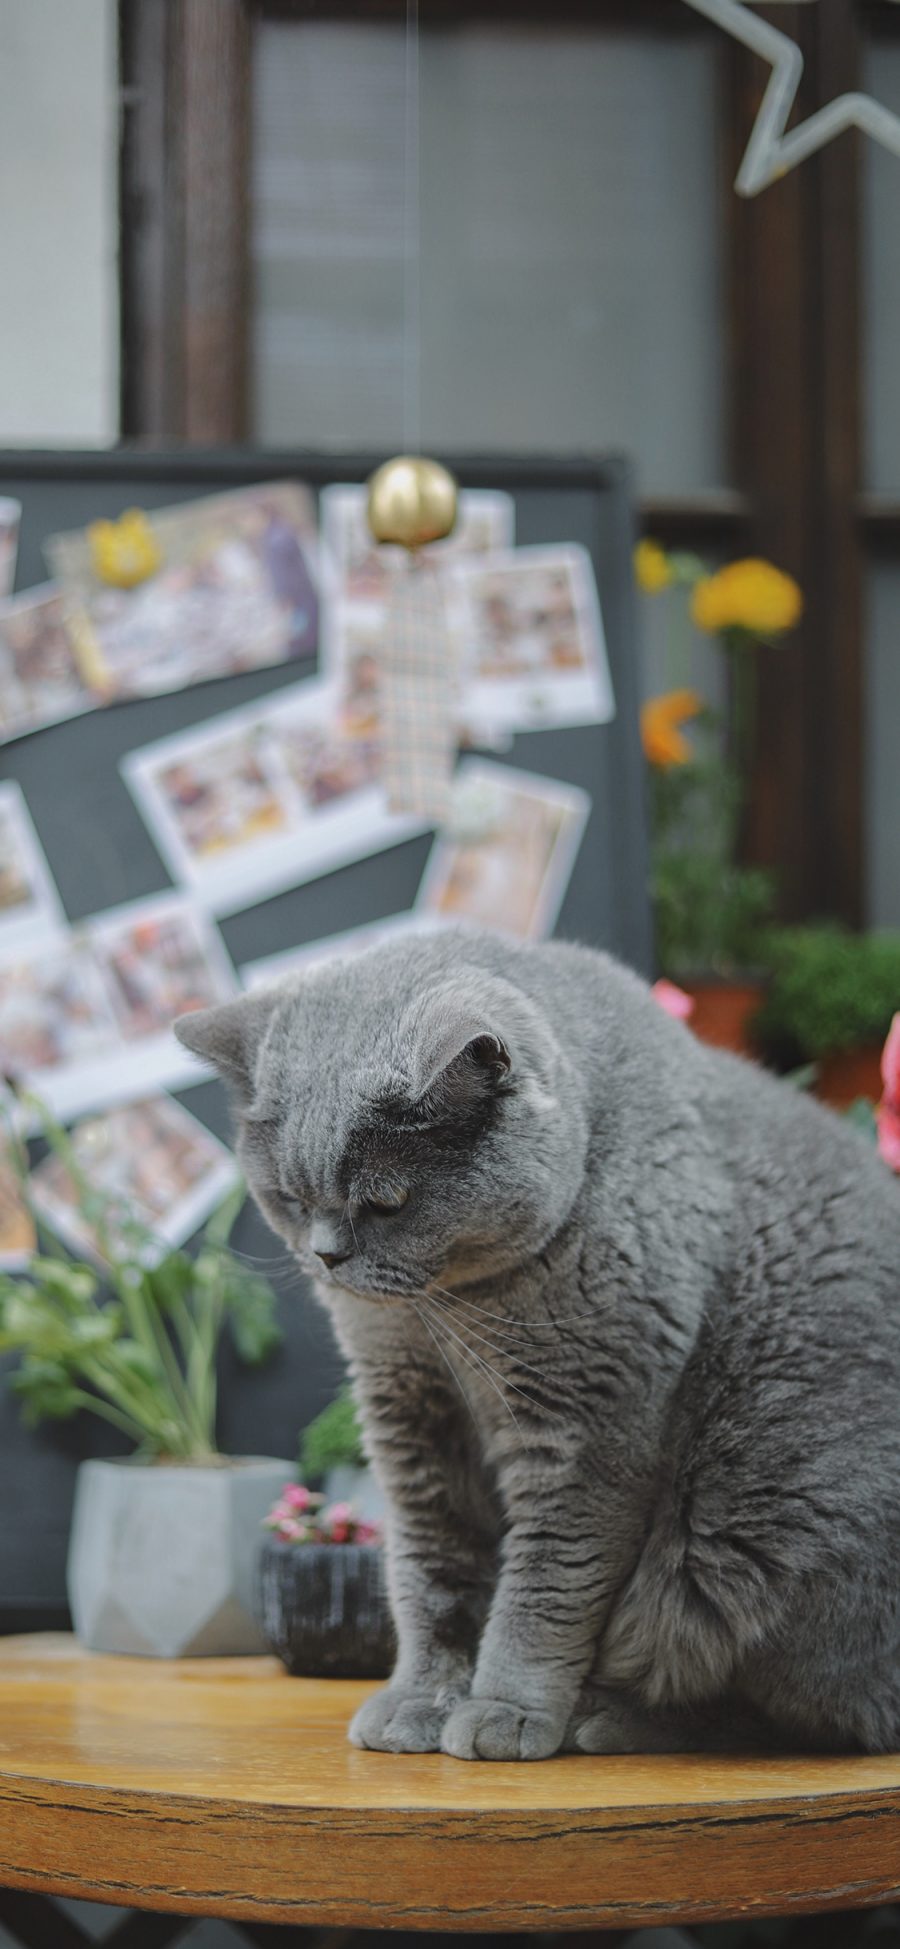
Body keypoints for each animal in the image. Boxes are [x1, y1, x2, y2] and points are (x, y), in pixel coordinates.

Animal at [174, 935, 900, 1761]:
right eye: (291, 1198)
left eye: (387, 1202)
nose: (326, 1255)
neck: (446, 1319)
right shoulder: (409, 1415)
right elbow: (431, 1568)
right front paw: (421, 1696)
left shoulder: (586, 1431)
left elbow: (546, 1586)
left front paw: (505, 1709)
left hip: (763, 1517)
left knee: (801, 1708)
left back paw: (608, 1717)